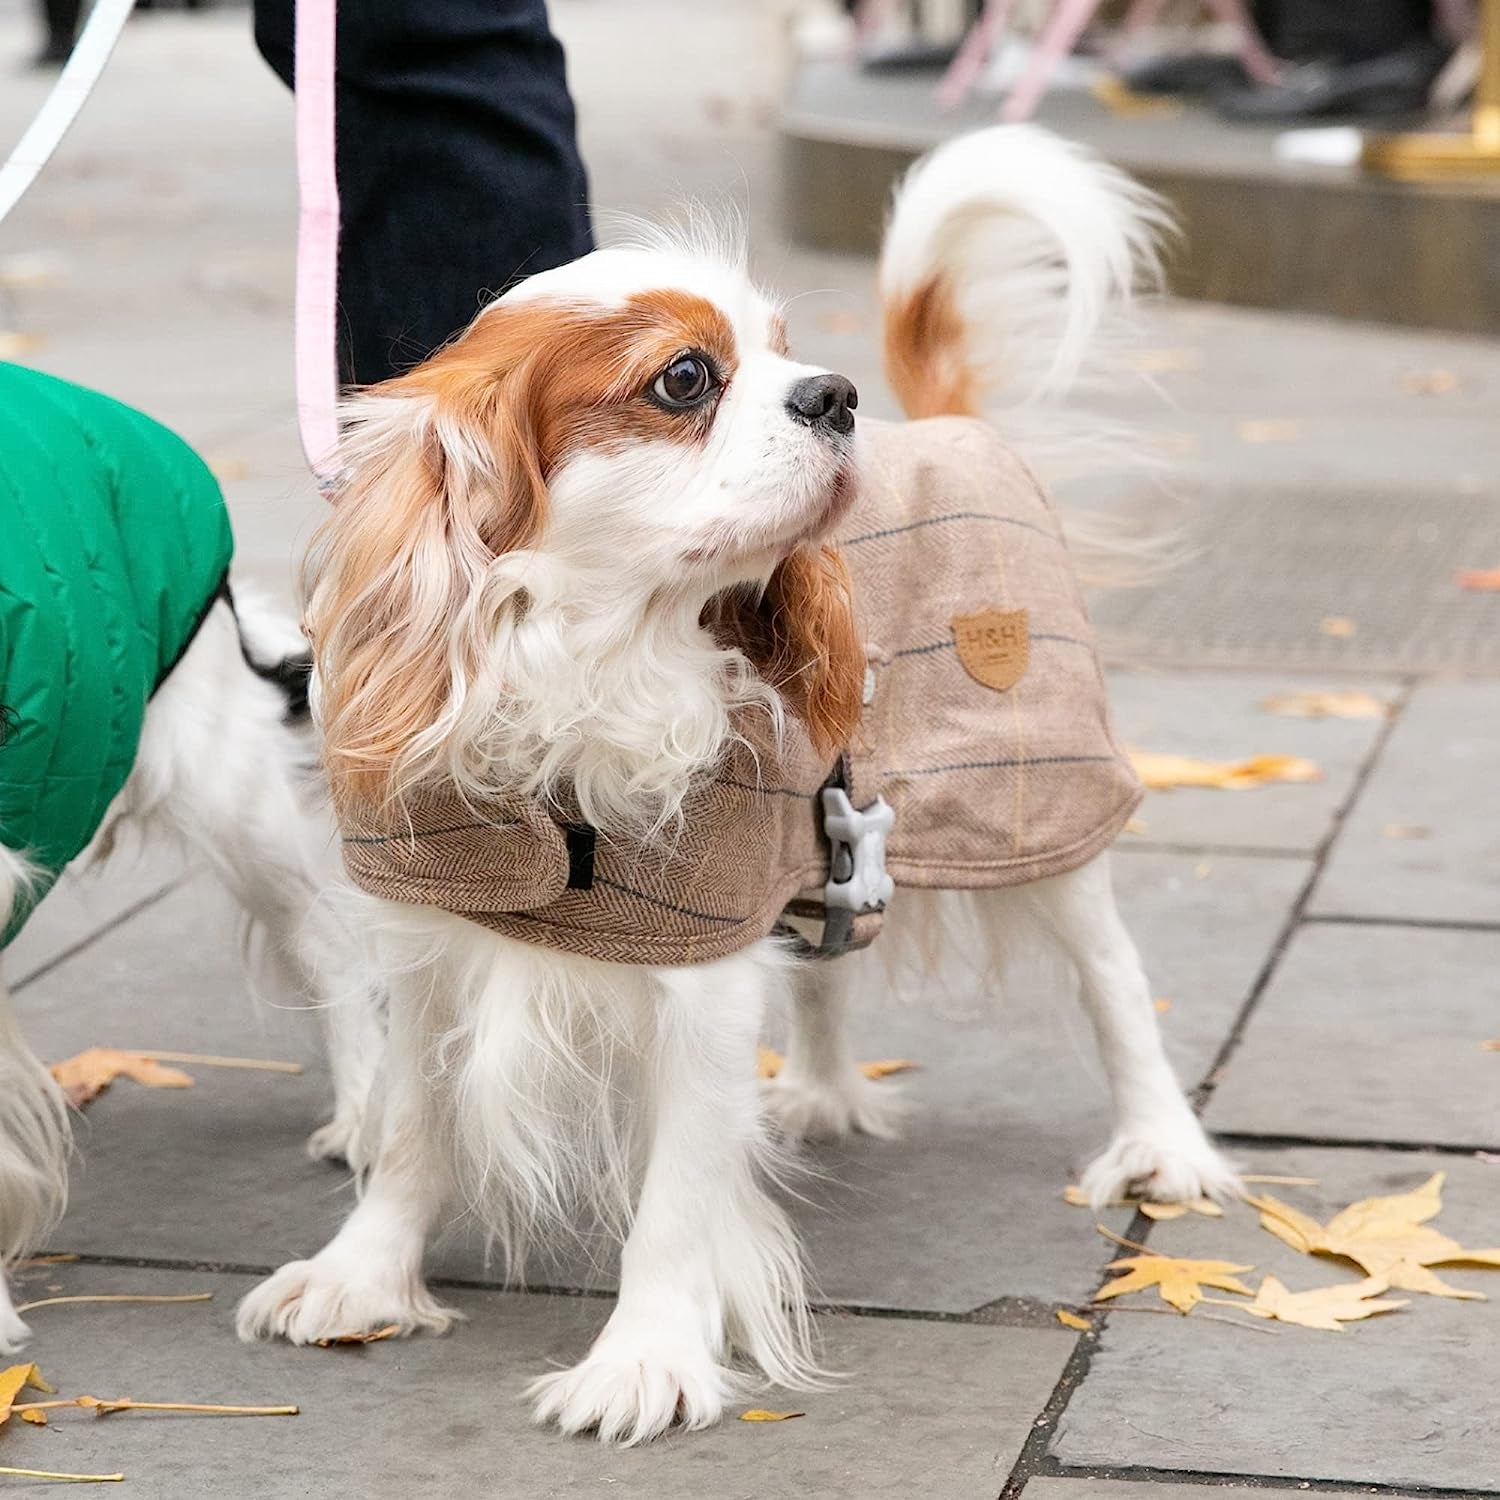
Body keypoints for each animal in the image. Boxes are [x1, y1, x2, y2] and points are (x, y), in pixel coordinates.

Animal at [237, 126, 1242, 1440]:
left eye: (783, 349)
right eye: (684, 380)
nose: (836, 394)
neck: (591, 666)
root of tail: (951, 426)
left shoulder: (699, 975)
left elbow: (678, 1195)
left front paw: (644, 1361)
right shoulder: (430, 939)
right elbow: (411, 1131)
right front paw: (362, 1277)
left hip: (1039, 798)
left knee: (1114, 982)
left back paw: (1162, 1147)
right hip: (839, 833)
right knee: (831, 958)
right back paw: (815, 1089)